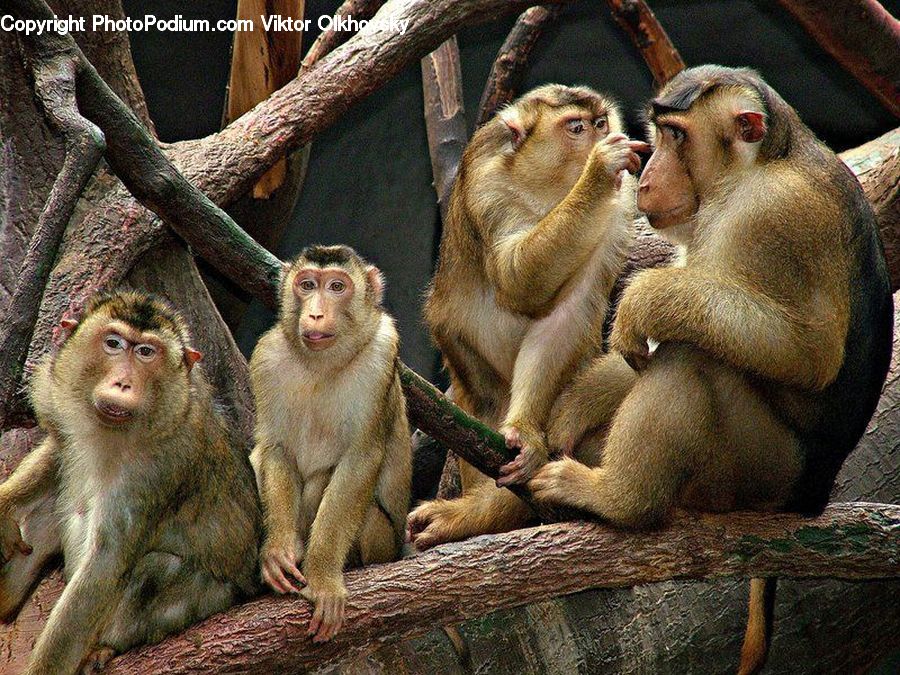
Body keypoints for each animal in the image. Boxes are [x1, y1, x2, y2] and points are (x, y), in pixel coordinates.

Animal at [0, 291, 261, 675]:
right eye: (114, 344)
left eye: (146, 352)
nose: (123, 383)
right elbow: (57, 453)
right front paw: (3, 503)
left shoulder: (157, 470)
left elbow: (105, 563)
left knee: (157, 567)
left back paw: (105, 648)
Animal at [250, 244, 411, 643]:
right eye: (307, 285)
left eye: (337, 287)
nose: (316, 313)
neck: (322, 364)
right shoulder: (267, 356)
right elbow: (275, 449)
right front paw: (277, 550)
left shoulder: (381, 355)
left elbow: (360, 459)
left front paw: (322, 578)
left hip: (379, 540)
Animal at [407, 84, 647, 549]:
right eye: (576, 128)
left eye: (600, 123)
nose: (601, 137)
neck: (550, 192)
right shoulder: (488, 182)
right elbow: (516, 278)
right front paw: (597, 171)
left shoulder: (618, 206)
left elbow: (562, 317)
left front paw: (528, 432)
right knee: (480, 397)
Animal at [527, 66, 893, 674]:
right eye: (659, 133)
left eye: (676, 136)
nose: (647, 177)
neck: (755, 169)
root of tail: (812, 495)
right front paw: (577, 403)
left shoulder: (777, 215)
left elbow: (807, 352)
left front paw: (642, 301)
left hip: (756, 471)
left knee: (692, 359)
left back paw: (619, 500)